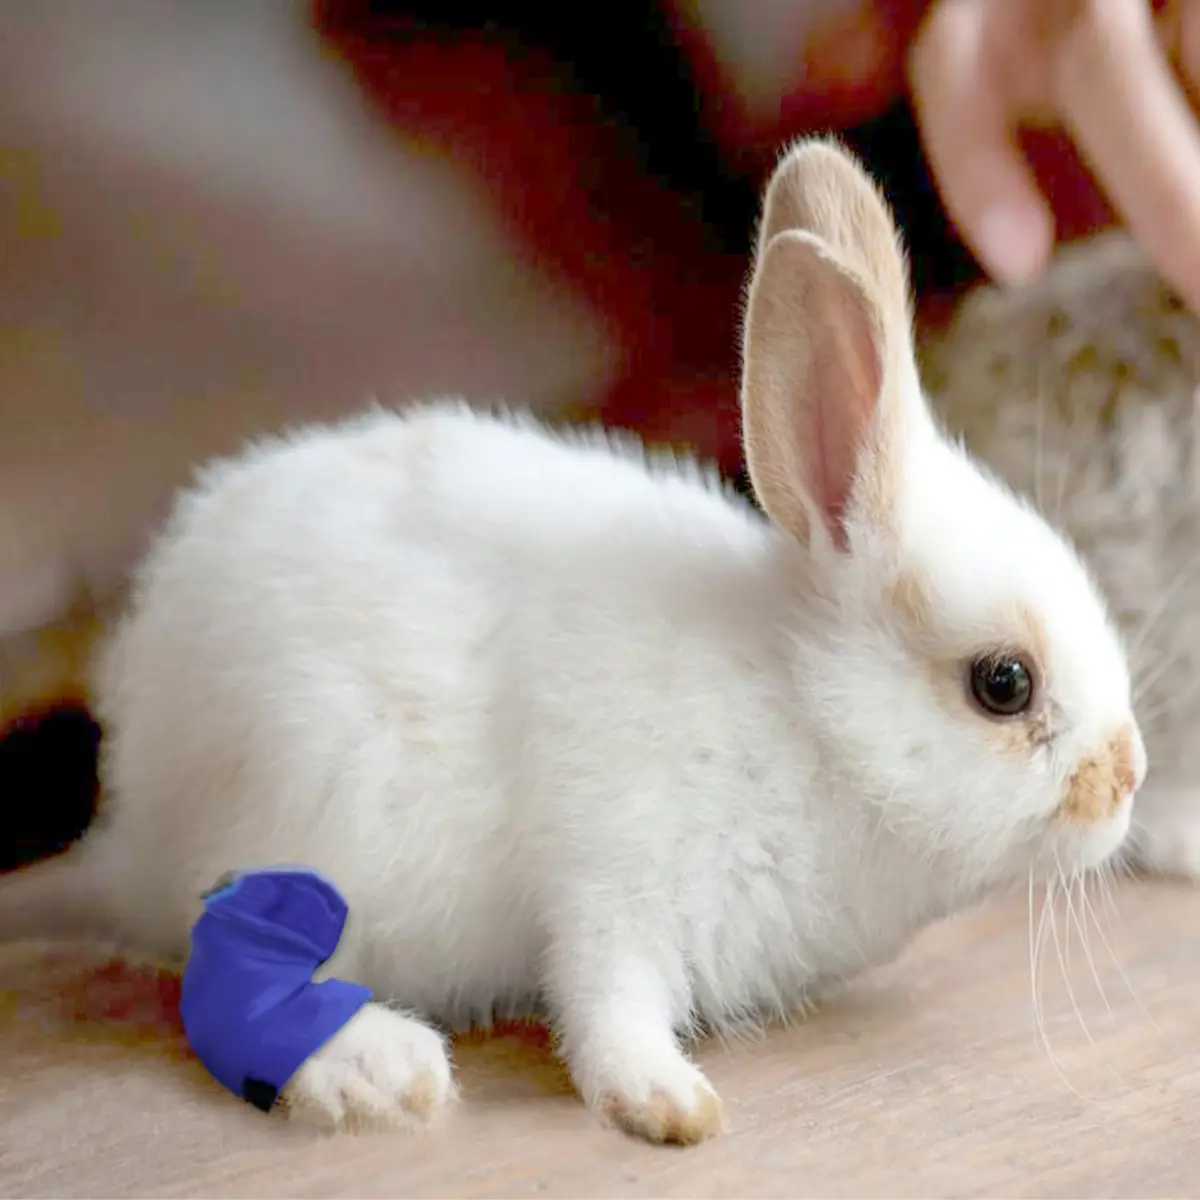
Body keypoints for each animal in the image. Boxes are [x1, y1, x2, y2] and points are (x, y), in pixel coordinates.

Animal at [0, 139, 1146, 1146]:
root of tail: (132, 831)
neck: (810, 722)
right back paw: (377, 1071)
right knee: (224, 968)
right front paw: (668, 1107)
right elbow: (606, 1009)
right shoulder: (615, 883)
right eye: (1004, 683)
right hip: (313, 811)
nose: (1128, 776)